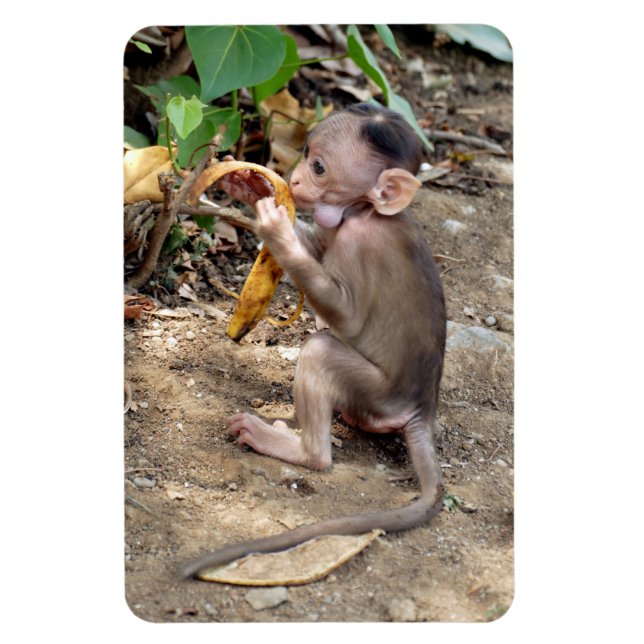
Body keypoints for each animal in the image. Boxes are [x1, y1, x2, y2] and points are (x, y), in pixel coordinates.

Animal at [179, 103, 446, 579]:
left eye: (320, 167)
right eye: (305, 154)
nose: (297, 179)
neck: (365, 212)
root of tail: (421, 408)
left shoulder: (360, 242)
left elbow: (347, 316)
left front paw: (276, 230)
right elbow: (317, 246)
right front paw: (248, 185)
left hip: (378, 395)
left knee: (321, 350)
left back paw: (300, 450)